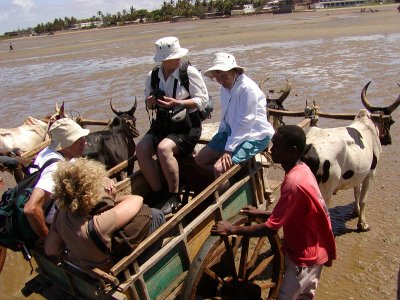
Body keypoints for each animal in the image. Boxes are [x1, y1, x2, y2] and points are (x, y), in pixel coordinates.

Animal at [304, 82, 400, 232]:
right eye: (391, 122)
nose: (389, 140)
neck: (368, 126)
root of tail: (309, 146)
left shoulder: (358, 172)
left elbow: (356, 192)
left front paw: (355, 211)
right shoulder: (370, 173)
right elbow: (363, 199)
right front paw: (363, 224)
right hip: (324, 191)